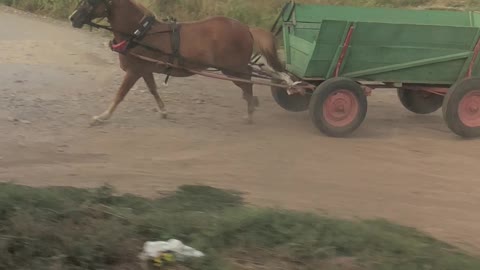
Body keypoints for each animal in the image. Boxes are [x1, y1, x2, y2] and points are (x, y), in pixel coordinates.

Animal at [69, 0, 286, 125]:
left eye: (90, 2)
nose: (72, 18)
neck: (140, 33)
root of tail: (247, 28)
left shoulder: (133, 71)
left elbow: (119, 95)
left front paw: (102, 116)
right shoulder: (144, 70)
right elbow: (153, 90)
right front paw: (164, 111)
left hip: (233, 70)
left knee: (248, 83)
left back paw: (250, 110)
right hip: (235, 69)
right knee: (249, 81)